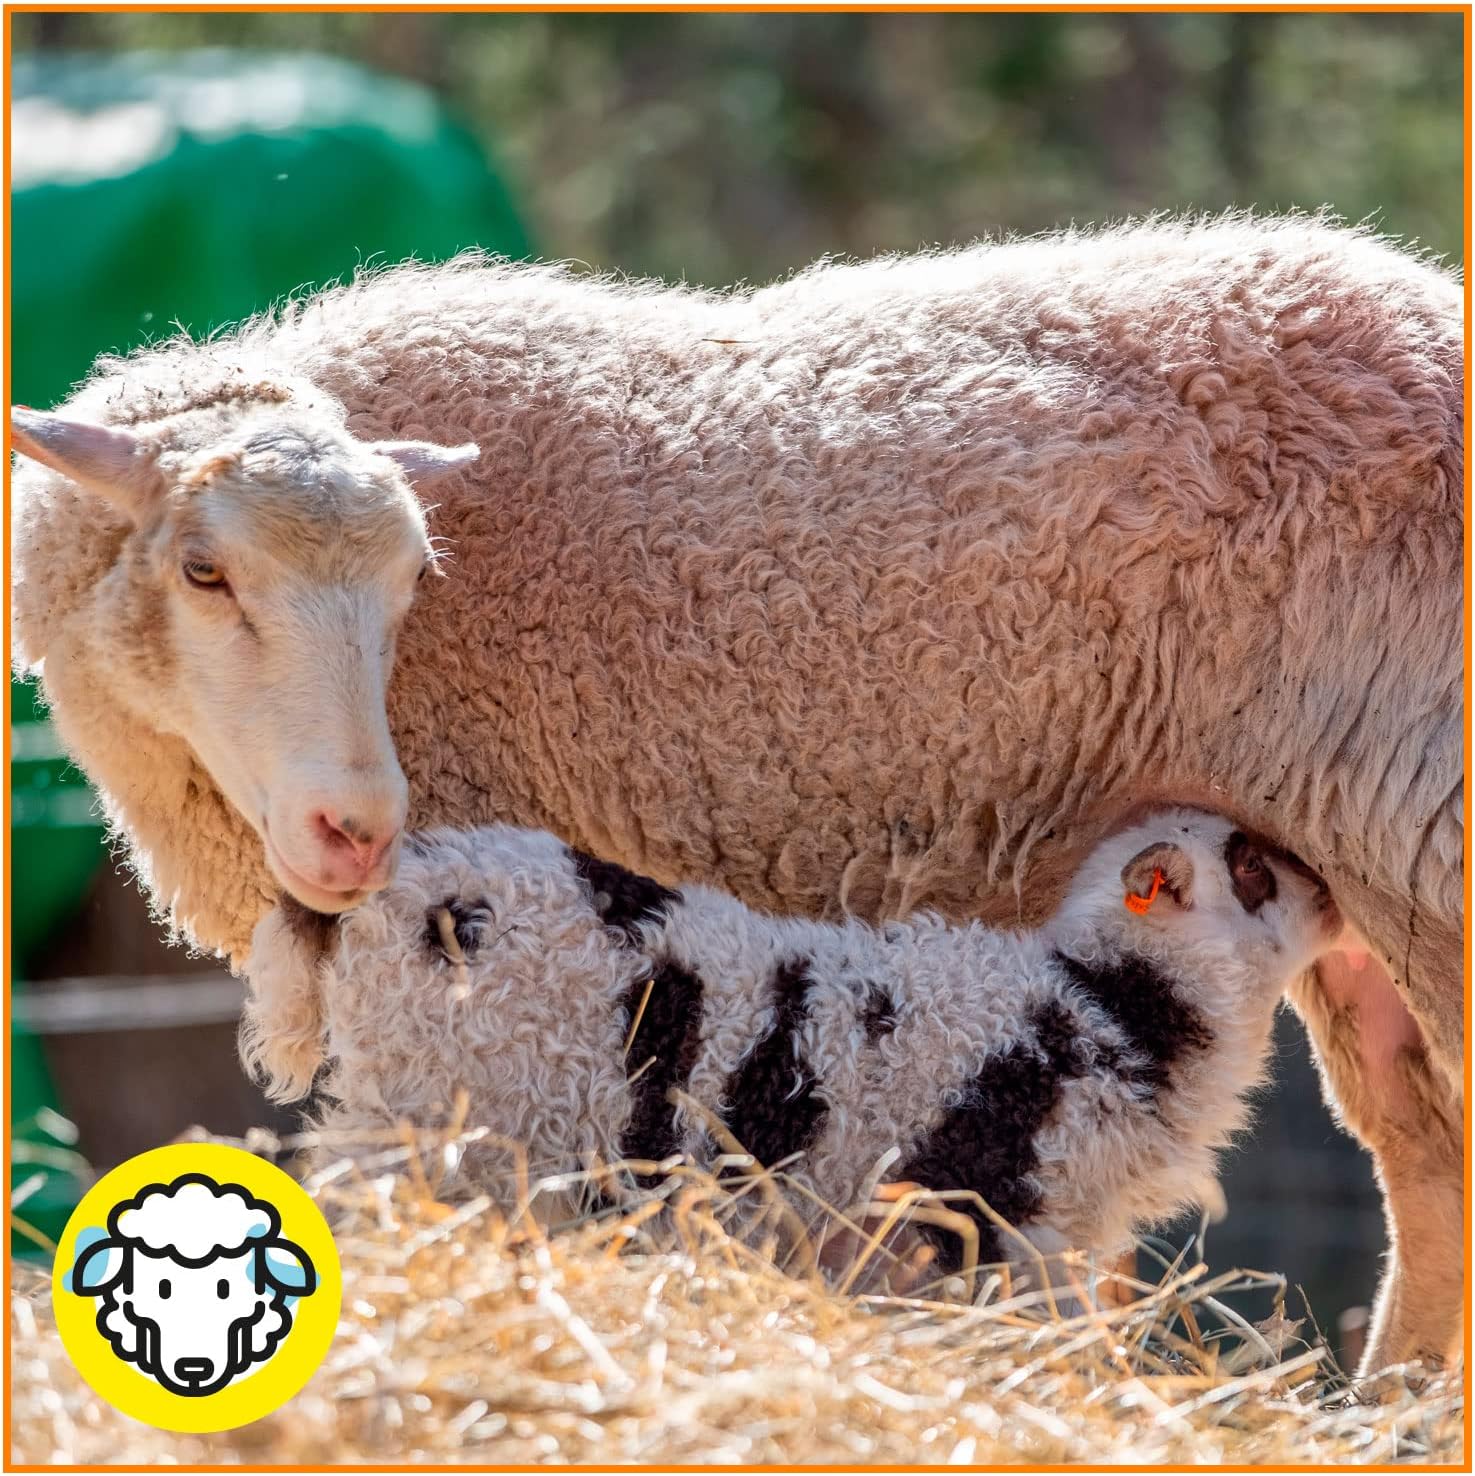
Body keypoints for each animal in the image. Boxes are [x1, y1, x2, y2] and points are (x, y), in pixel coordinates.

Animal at [242, 807, 1343, 1294]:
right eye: (1251, 867)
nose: (1332, 893)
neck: (1113, 1004)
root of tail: (380, 891)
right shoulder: (1001, 1210)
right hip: (426, 1117)